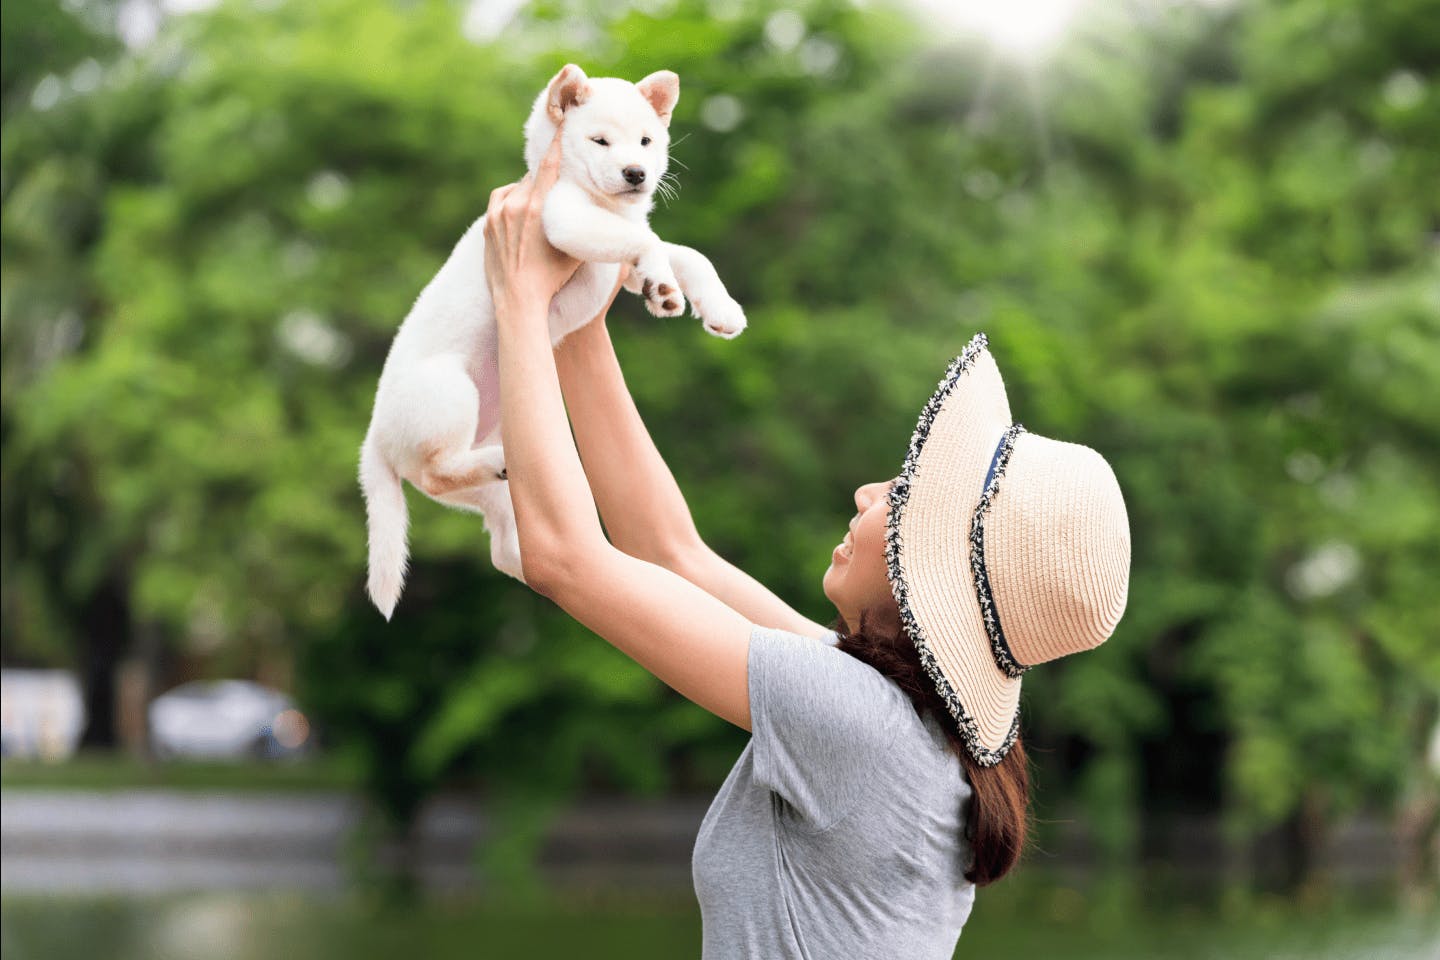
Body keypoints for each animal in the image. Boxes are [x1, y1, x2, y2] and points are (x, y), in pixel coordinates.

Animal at [358, 67, 748, 624]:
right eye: (600, 140)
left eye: (646, 142)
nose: (636, 173)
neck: (602, 204)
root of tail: (373, 439)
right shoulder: (566, 222)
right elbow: (650, 242)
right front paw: (664, 285)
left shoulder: (617, 257)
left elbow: (688, 255)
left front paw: (714, 306)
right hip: (449, 391)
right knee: (436, 474)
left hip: (504, 486)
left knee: (510, 547)